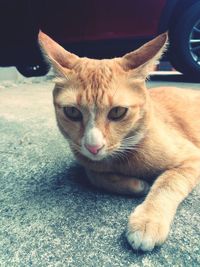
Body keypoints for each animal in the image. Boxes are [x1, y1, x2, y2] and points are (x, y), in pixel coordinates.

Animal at [39, 31, 200, 251]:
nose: (93, 146)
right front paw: (138, 185)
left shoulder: (192, 159)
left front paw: (148, 220)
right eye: (72, 112)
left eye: (117, 112)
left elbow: (167, 183)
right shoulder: (90, 164)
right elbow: (95, 175)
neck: (123, 157)